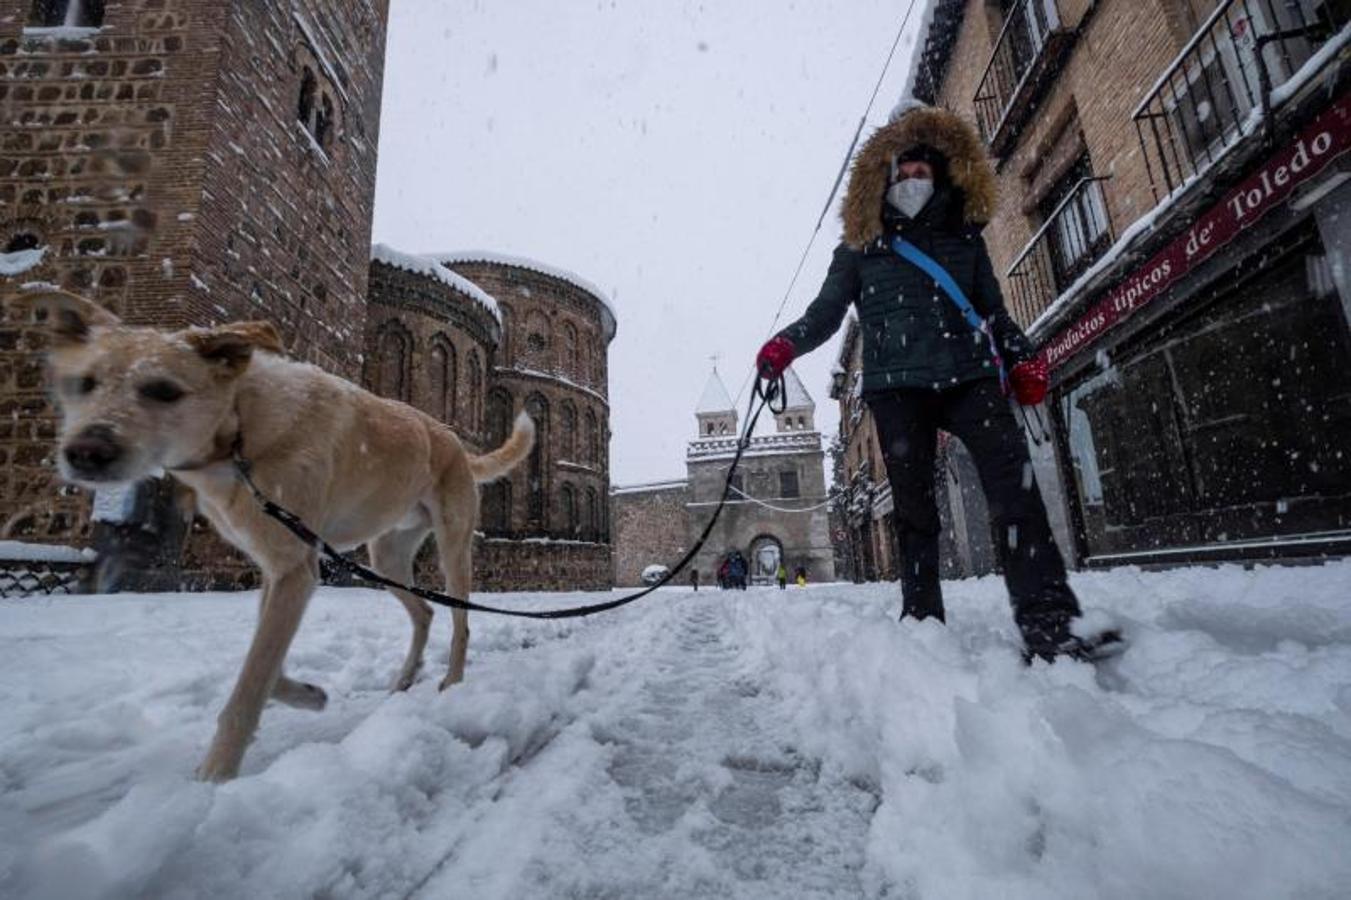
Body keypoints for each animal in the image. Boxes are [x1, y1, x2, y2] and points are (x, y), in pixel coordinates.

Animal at [17, 289, 532, 778]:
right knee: (424, 611)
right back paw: (405, 679)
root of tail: (455, 442)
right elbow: (267, 664)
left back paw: (452, 682)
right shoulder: (277, 567)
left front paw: (216, 774)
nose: (85, 452)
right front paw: (307, 694)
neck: (240, 431)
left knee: (461, 621)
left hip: (452, 547)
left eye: (163, 391)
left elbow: (251, 682)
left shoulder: (295, 571)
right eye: (83, 384)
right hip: (385, 554)